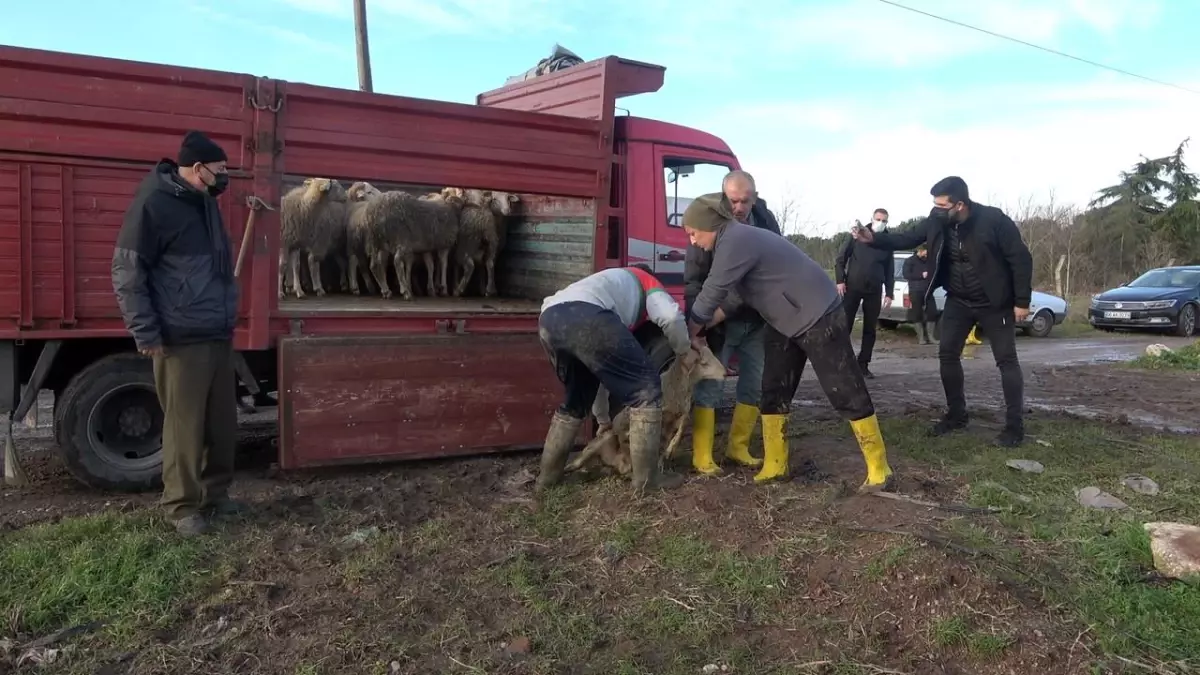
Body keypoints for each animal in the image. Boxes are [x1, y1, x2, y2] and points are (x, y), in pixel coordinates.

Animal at [566, 343, 724, 475]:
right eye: (703, 362)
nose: (725, 373)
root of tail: (617, 463)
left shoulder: (679, 416)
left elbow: (677, 431)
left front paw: (667, 454)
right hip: (600, 441)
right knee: (581, 458)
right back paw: (570, 468)